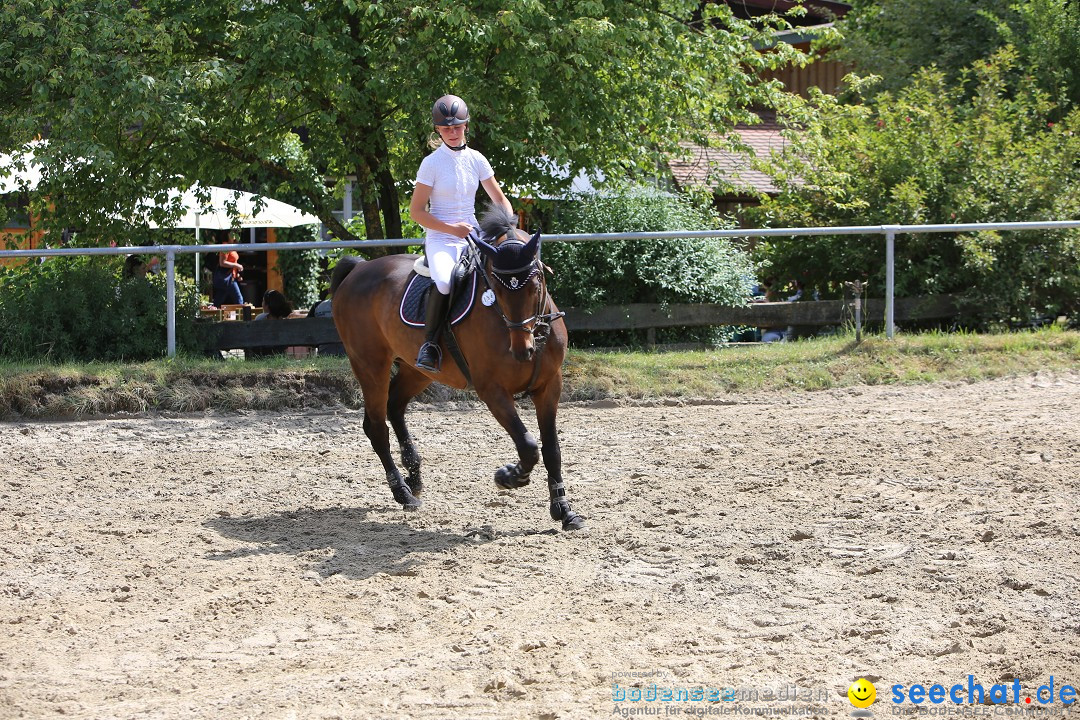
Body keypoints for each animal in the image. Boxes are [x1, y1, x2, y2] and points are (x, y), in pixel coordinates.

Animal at [328, 205, 587, 533]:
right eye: (496, 288)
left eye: (537, 281)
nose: (522, 350)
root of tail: (358, 269)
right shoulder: (492, 390)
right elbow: (529, 445)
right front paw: (509, 476)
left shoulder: (549, 386)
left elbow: (552, 449)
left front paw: (564, 511)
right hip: (371, 365)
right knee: (376, 426)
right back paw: (403, 492)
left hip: (417, 370)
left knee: (394, 405)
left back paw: (414, 476)